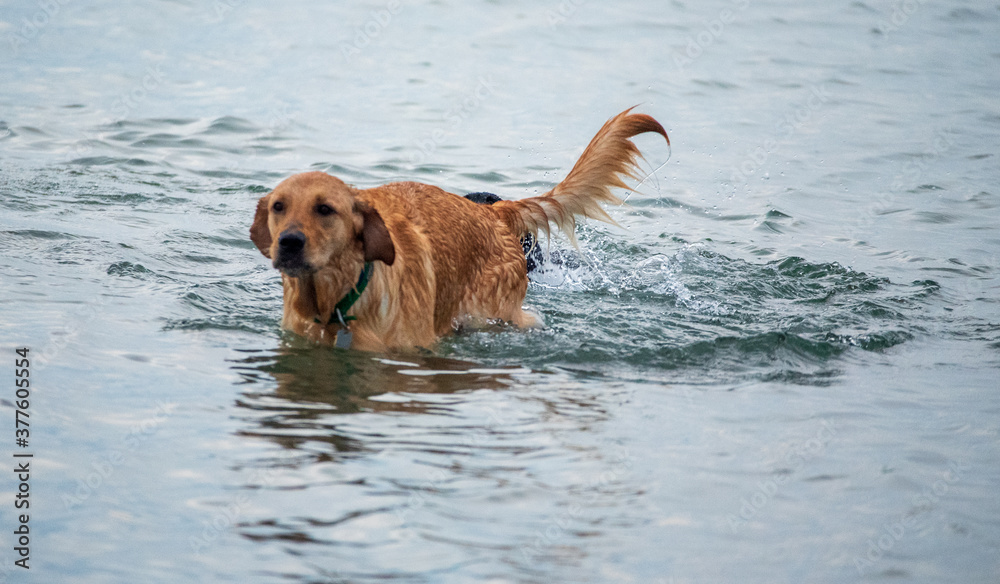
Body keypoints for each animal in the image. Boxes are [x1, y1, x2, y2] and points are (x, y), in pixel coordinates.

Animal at [252, 106, 672, 350]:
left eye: (326, 209)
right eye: (278, 207)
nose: (289, 242)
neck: (335, 303)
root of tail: (497, 213)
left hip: (490, 314)